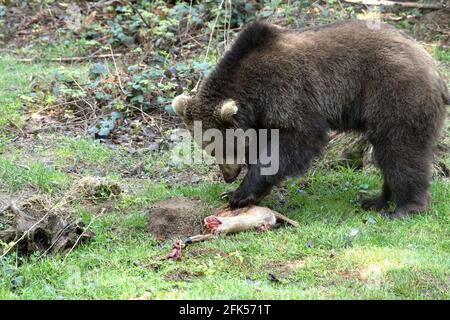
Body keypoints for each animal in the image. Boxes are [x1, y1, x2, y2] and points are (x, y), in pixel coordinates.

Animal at [171, 20, 448, 219]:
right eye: (208, 148)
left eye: (222, 146)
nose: (228, 175)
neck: (251, 91)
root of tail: (432, 65)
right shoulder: (262, 115)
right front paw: (237, 191)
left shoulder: (288, 91)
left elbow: (297, 140)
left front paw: (240, 194)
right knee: (387, 152)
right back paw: (375, 200)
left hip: (394, 91)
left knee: (401, 148)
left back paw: (405, 207)